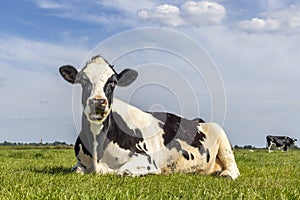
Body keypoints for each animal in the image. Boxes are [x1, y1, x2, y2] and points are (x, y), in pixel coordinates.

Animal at [58, 55, 240, 180]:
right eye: (82, 80)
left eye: (113, 82)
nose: (98, 102)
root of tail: (199, 120)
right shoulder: (79, 164)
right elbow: (77, 170)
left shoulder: (147, 160)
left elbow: (120, 171)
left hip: (222, 138)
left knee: (233, 167)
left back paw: (226, 174)